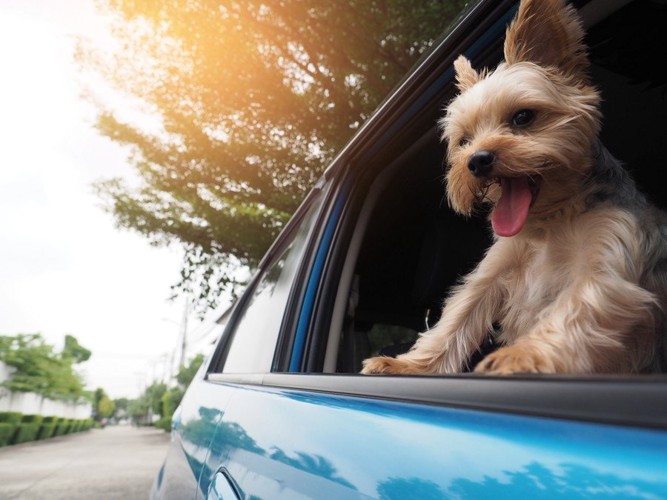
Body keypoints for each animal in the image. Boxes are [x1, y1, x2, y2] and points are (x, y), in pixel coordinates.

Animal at [362, 0, 667, 376]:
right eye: (464, 141)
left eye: (523, 117)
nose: (476, 161)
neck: (553, 218)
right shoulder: (496, 269)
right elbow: (458, 316)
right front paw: (408, 365)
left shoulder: (609, 253)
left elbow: (578, 304)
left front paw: (520, 356)